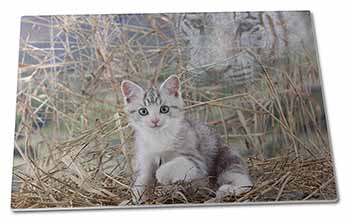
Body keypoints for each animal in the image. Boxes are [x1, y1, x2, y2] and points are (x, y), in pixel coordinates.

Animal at [120, 75, 252, 204]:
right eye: (143, 111)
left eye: (164, 109)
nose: (154, 121)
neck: (158, 136)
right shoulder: (146, 157)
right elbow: (143, 177)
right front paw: (139, 195)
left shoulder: (196, 162)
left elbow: (178, 163)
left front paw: (161, 175)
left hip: (227, 158)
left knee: (244, 181)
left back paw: (227, 190)